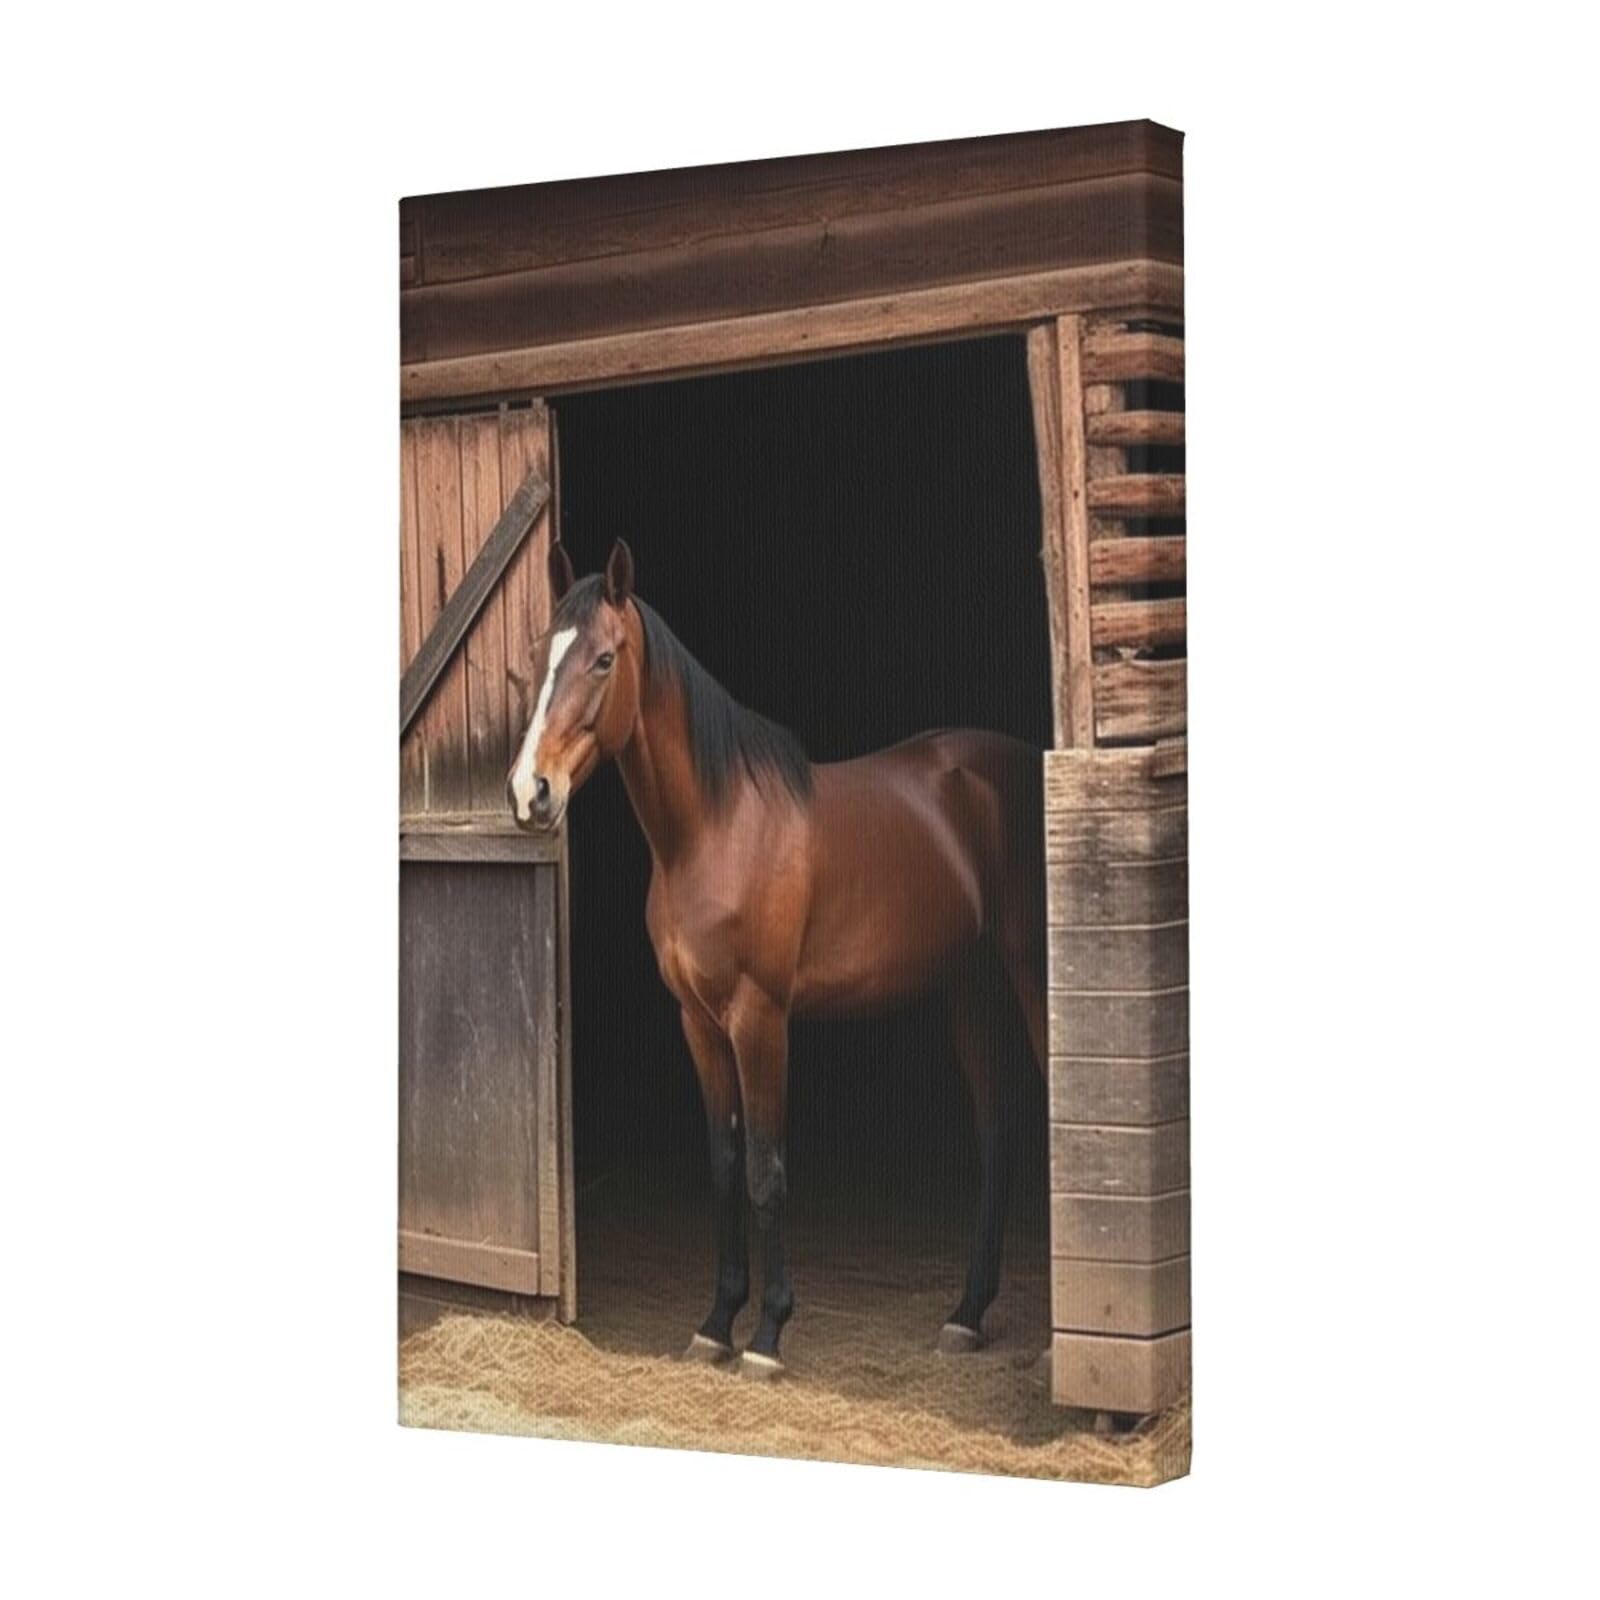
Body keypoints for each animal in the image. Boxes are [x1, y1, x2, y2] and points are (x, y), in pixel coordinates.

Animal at [509, 540, 1047, 1378]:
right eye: (540, 656)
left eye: (603, 659)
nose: (530, 793)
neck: (717, 827)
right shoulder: (698, 1023)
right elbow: (726, 1166)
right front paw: (715, 1324)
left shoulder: (760, 1019)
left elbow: (766, 1171)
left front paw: (766, 1337)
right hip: (970, 988)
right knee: (997, 1134)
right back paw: (965, 1315)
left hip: (1031, 973)